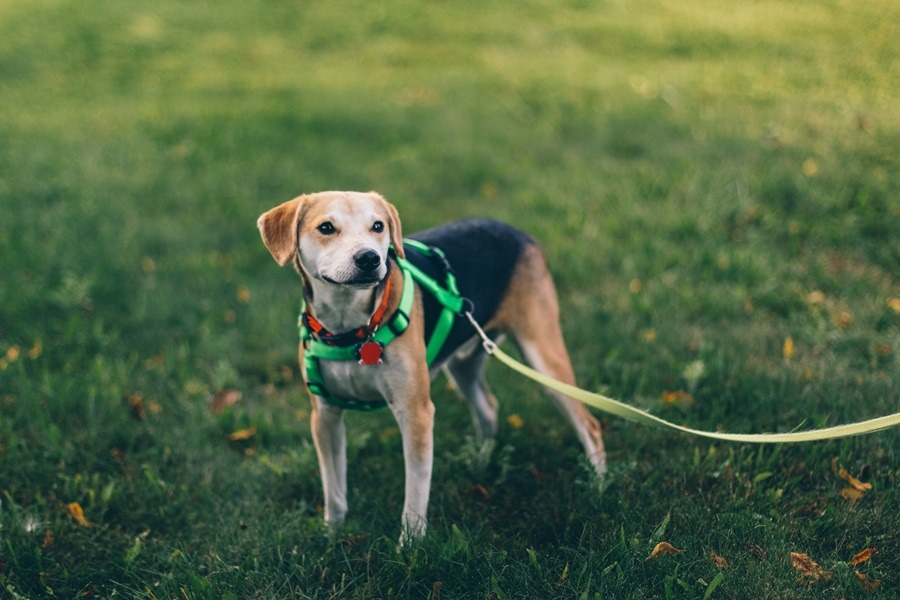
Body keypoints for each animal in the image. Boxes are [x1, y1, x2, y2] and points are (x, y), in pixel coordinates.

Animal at [256, 191, 604, 544]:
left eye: (378, 226)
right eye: (326, 227)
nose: (369, 259)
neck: (352, 329)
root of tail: (517, 231)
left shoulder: (416, 413)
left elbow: (415, 491)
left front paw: (410, 545)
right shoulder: (324, 416)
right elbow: (334, 488)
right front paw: (332, 535)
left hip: (543, 356)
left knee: (590, 425)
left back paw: (598, 485)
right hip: (463, 365)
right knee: (488, 407)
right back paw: (482, 459)